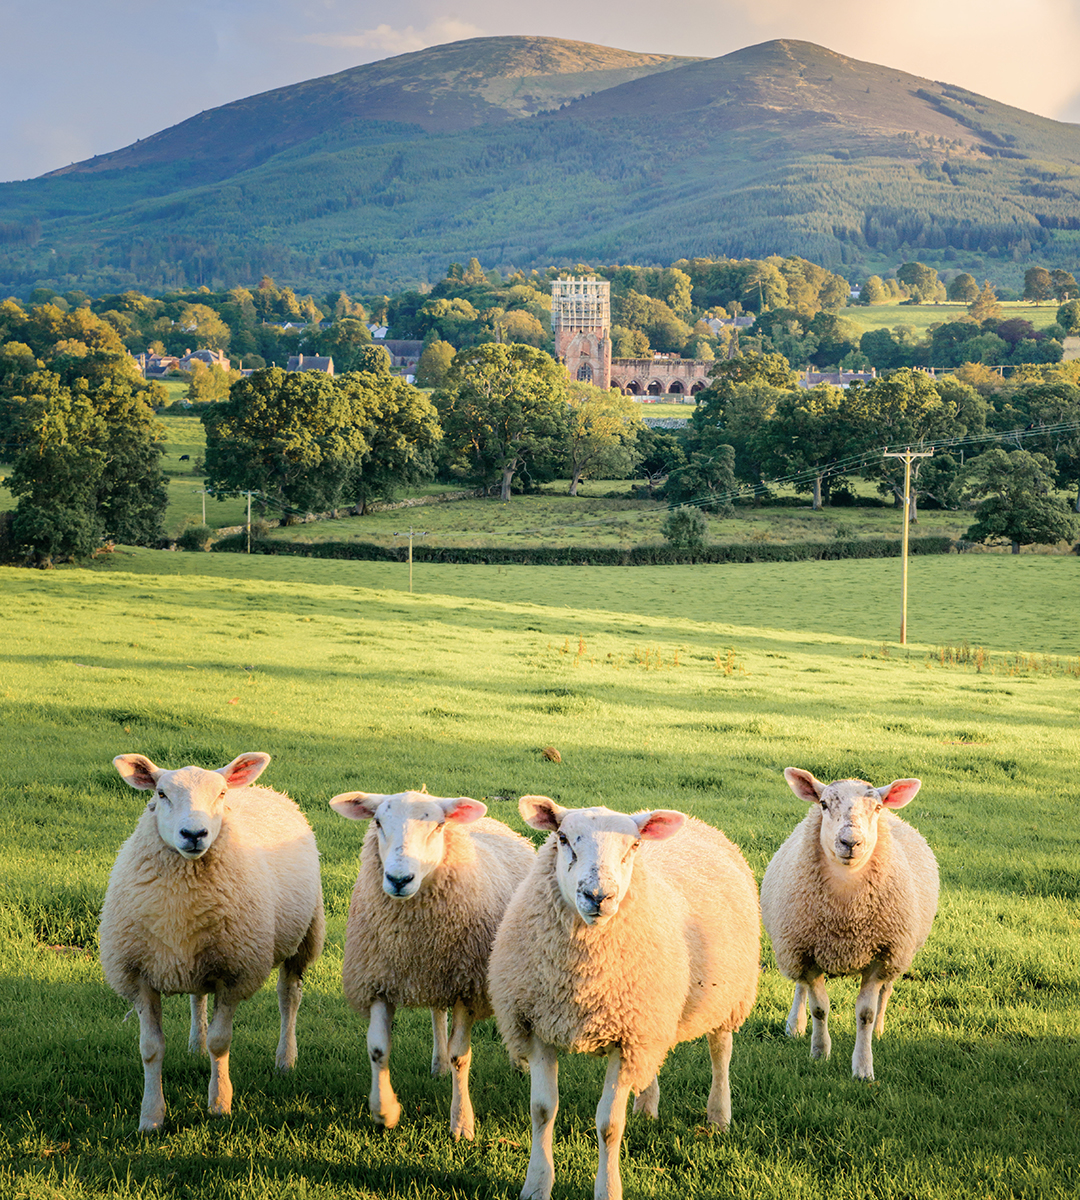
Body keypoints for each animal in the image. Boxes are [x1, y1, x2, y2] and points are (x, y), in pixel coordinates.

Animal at [101, 753, 324, 1128]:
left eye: (220, 794)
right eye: (161, 793)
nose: (194, 834)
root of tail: (267, 790)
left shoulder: (234, 973)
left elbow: (220, 1044)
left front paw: (219, 1103)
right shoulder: (139, 975)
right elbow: (150, 1049)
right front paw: (151, 1117)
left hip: (305, 934)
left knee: (289, 997)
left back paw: (285, 1059)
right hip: (197, 955)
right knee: (197, 998)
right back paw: (195, 1042)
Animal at [326, 792, 532, 1137]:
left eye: (437, 826)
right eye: (377, 822)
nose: (399, 879)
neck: (413, 940)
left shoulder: (467, 987)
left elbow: (461, 1056)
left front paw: (461, 1122)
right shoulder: (379, 980)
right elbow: (378, 1049)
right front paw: (385, 1111)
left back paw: (520, 1063)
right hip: (438, 975)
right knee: (437, 1013)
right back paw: (438, 1064)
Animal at [489, 796, 758, 1200]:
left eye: (633, 846)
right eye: (563, 838)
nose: (598, 896)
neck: (582, 982)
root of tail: (698, 823)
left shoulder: (625, 1038)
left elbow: (608, 1125)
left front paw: (607, 1189)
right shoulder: (539, 1028)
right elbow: (542, 1110)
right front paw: (536, 1185)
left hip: (728, 996)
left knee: (720, 1051)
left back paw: (719, 1115)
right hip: (655, 1015)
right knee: (656, 1061)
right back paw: (646, 1104)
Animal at [758, 768, 936, 1089]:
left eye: (876, 808)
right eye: (824, 804)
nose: (850, 842)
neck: (846, 917)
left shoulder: (882, 956)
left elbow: (865, 1013)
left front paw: (863, 1067)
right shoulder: (805, 952)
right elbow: (819, 1007)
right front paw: (819, 1053)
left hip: (900, 953)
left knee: (886, 991)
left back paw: (879, 1030)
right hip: (794, 947)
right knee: (801, 988)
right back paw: (794, 1025)